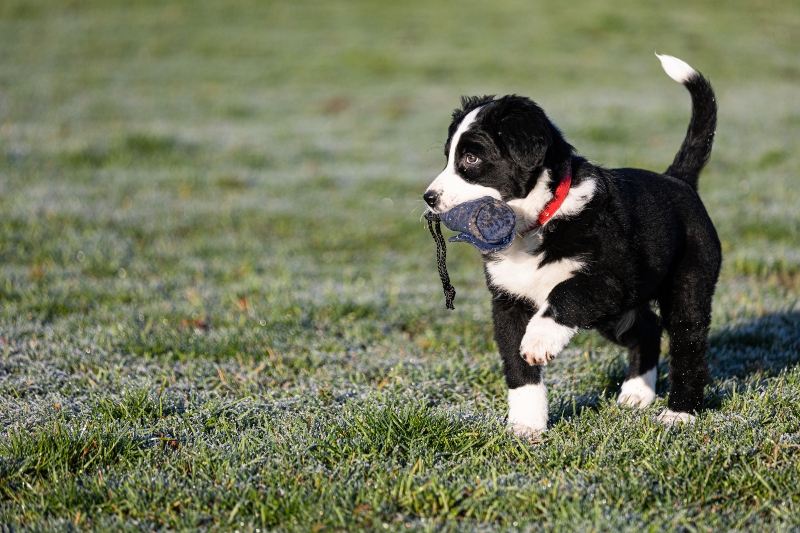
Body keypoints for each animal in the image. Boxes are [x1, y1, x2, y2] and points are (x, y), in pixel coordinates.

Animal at [422, 54, 720, 436]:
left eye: (471, 159)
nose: (429, 198)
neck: (535, 223)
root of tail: (678, 180)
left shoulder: (608, 279)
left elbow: (564, 294)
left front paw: (538, 341)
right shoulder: (508, 301)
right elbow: (518, 370)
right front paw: (526, 427)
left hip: (687, 284)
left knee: (688, 344)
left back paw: (679, 413)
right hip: (614, 314)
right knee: (648, 328)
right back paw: (637, 393)